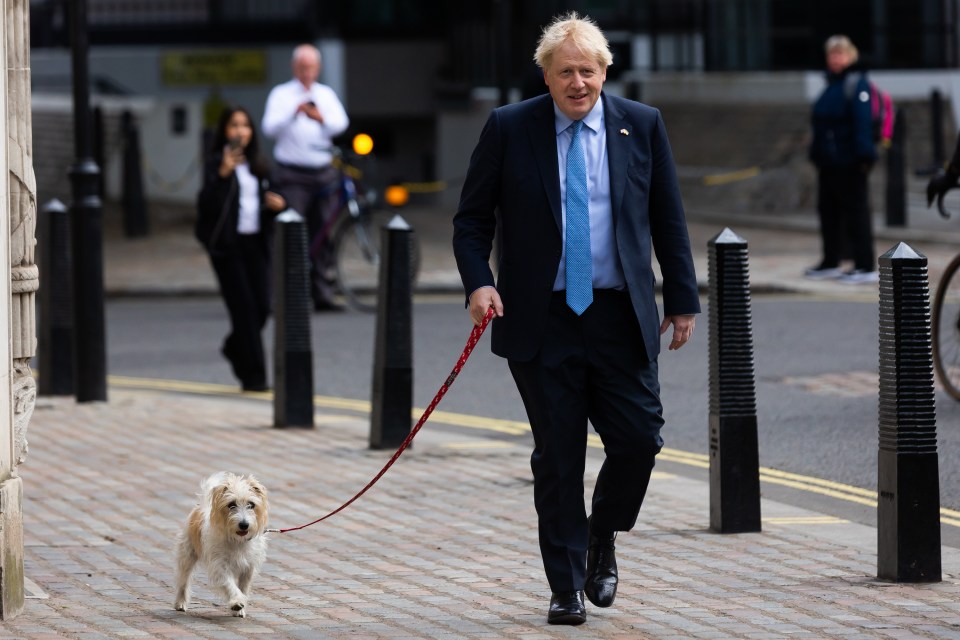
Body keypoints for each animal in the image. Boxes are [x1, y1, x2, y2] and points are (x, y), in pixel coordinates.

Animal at [172, 472, 268, 616]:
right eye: (231, 504)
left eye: (251, 504)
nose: (244, 524)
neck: (236, 541)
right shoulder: (220, 566)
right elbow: (229, 584)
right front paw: (237, 602)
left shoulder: (248, 569)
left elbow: (243, 588)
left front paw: (241, 608)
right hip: (187, 556)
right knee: (183, 581)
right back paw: (180, 603)